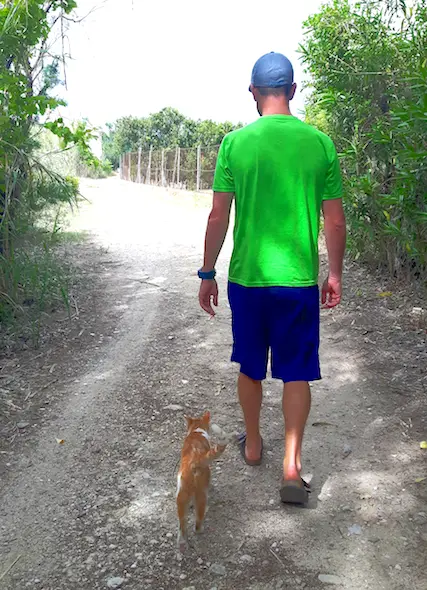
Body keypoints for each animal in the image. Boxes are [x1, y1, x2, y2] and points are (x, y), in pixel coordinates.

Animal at [176, 414, 227, 552]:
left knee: (182, 523)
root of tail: (194, 461)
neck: (196, 430)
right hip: (201, 496)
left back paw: (182, 540)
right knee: (198, 520)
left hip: (181, 498)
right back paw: (200, 530)